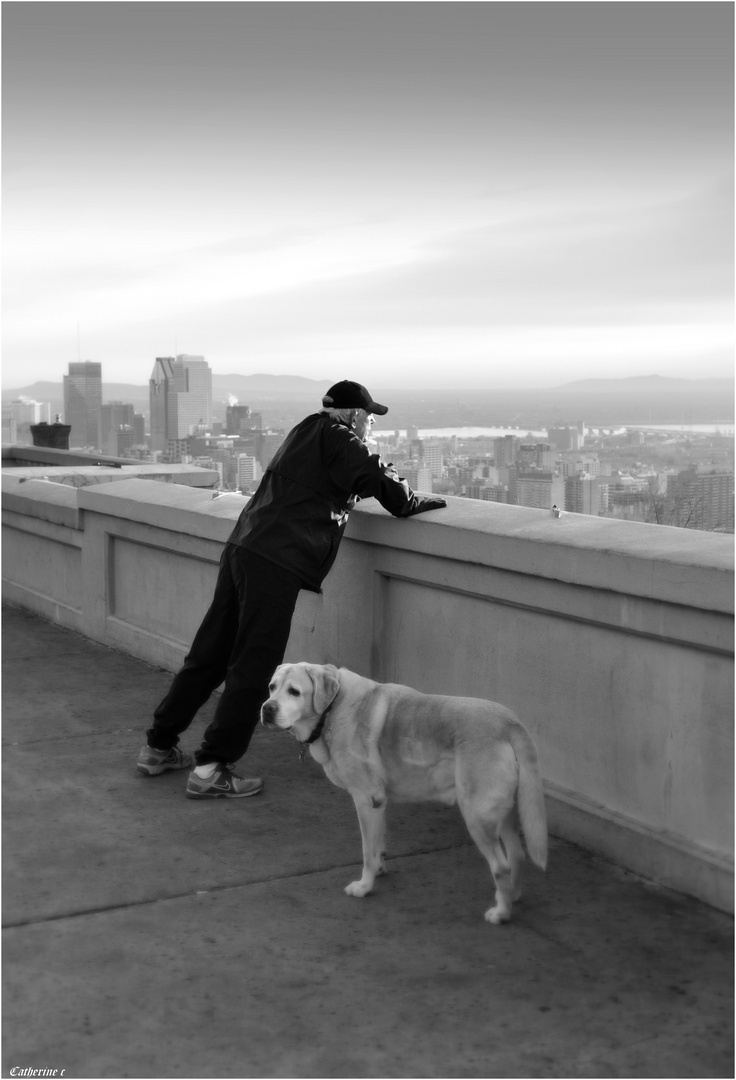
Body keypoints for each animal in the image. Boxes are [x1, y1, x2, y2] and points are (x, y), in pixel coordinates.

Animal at [259, 660, 544, 924]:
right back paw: (513, 896)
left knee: (501, 866)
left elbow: (367, 851)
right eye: (271, 687)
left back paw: (502, 913)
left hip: (477, 815)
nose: (267, 708)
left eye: (294, 691)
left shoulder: (366, 800)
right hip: (504, 813)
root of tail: (509, 722)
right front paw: (380, 869)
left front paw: (364, 886)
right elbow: (378, 844)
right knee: (517, 856)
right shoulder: (379, 802)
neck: (331, 709)